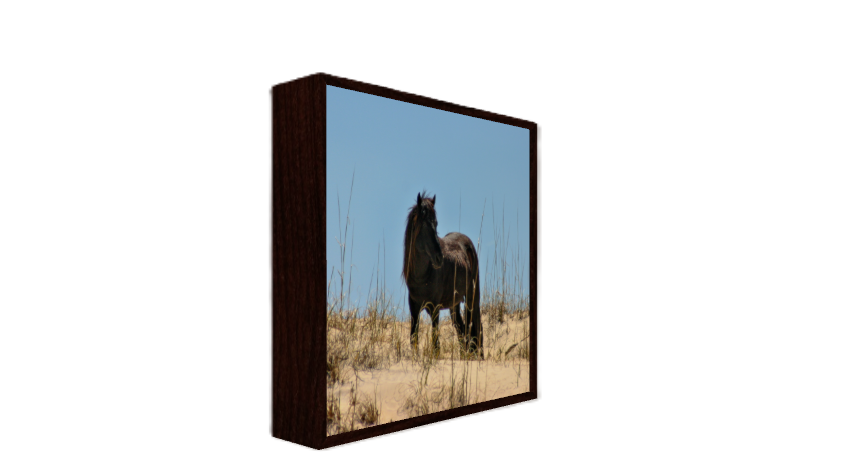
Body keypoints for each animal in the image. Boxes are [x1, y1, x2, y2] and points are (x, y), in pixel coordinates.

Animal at [401, 191, 484, 359]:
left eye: (436, 223)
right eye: (424, 225)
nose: (439, 258)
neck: (422, 277)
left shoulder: (434, 308)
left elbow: (435, 342)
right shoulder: (414, 309)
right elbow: (414, 338)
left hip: (472, 297)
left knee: (476, 327)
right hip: (454, 305)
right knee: (461, 329)